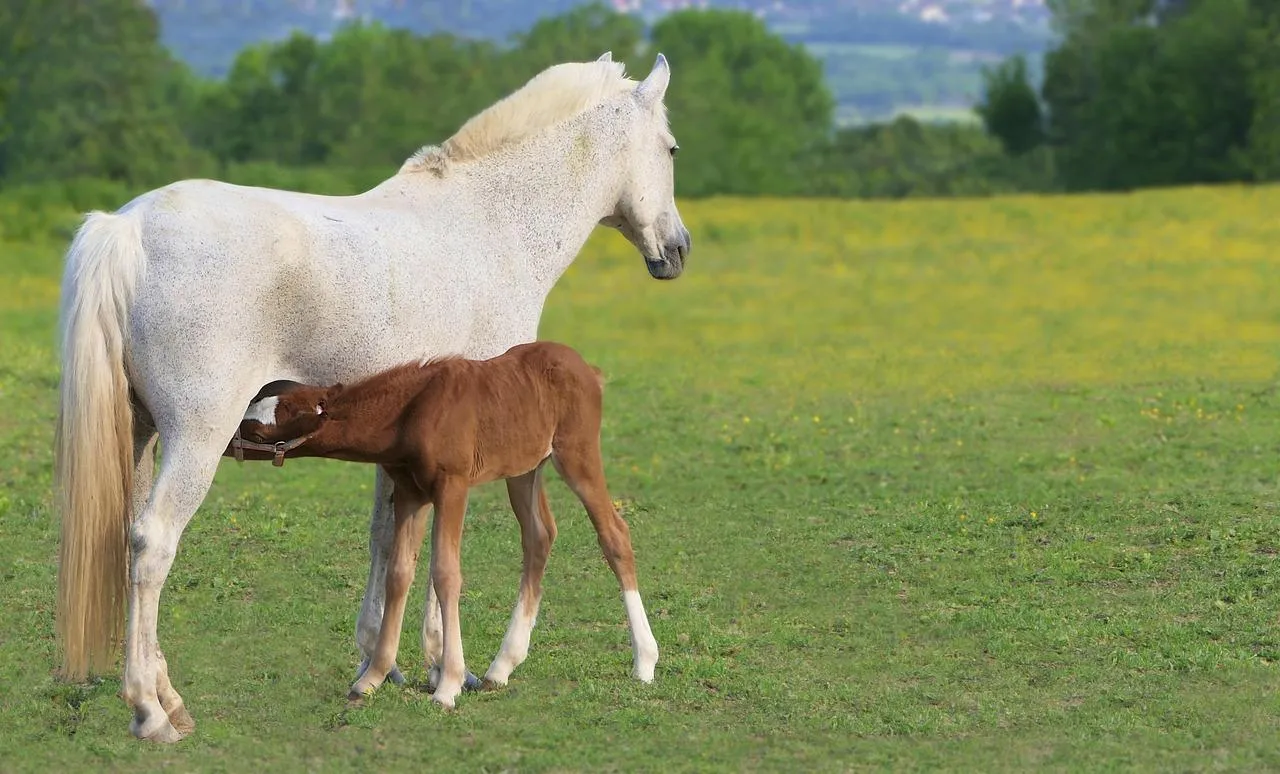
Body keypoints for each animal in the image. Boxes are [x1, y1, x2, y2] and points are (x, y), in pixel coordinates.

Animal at [226, 341, 659, 709]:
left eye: (258, 428)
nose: (228, 443)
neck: (410, 412)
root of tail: (587, 369)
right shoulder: (411, 492)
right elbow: (400, 572)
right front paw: (373, 677)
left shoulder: (453, 486)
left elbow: (445, 572)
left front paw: (448, 684)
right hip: (524, 468)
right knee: (539, 536)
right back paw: (501, 667)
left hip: (576, 453)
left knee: (613, 534)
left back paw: (644, 661)